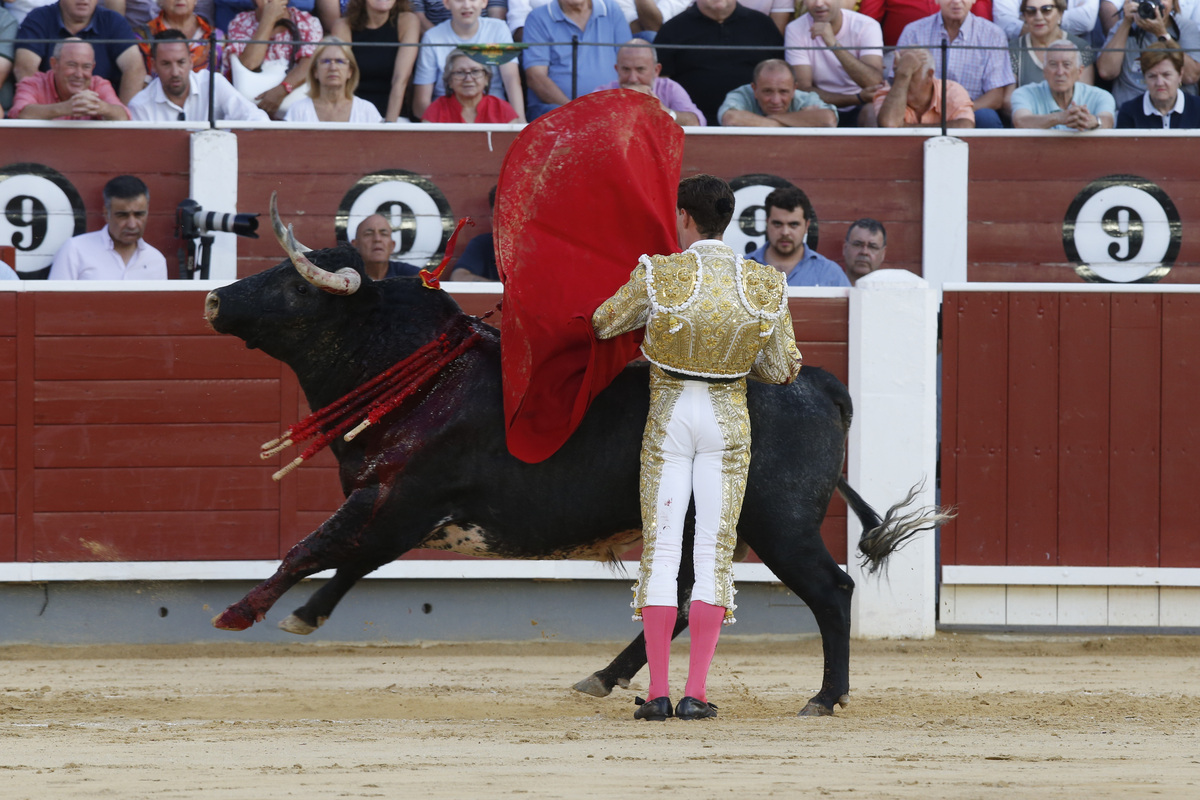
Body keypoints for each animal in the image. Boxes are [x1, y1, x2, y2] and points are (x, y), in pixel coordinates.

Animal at [201, 241, 940, 714]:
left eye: (295, 284)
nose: (211, 299)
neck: (424, 377)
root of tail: (814, 382)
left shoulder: (402, 498)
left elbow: (312, 547)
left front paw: (242, 612)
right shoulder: (392, 506)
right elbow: (351, 558)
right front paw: (304, 615)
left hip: (779, 525)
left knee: (831, 590)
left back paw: (825, 697)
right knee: (681, 598)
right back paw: (605, 679)